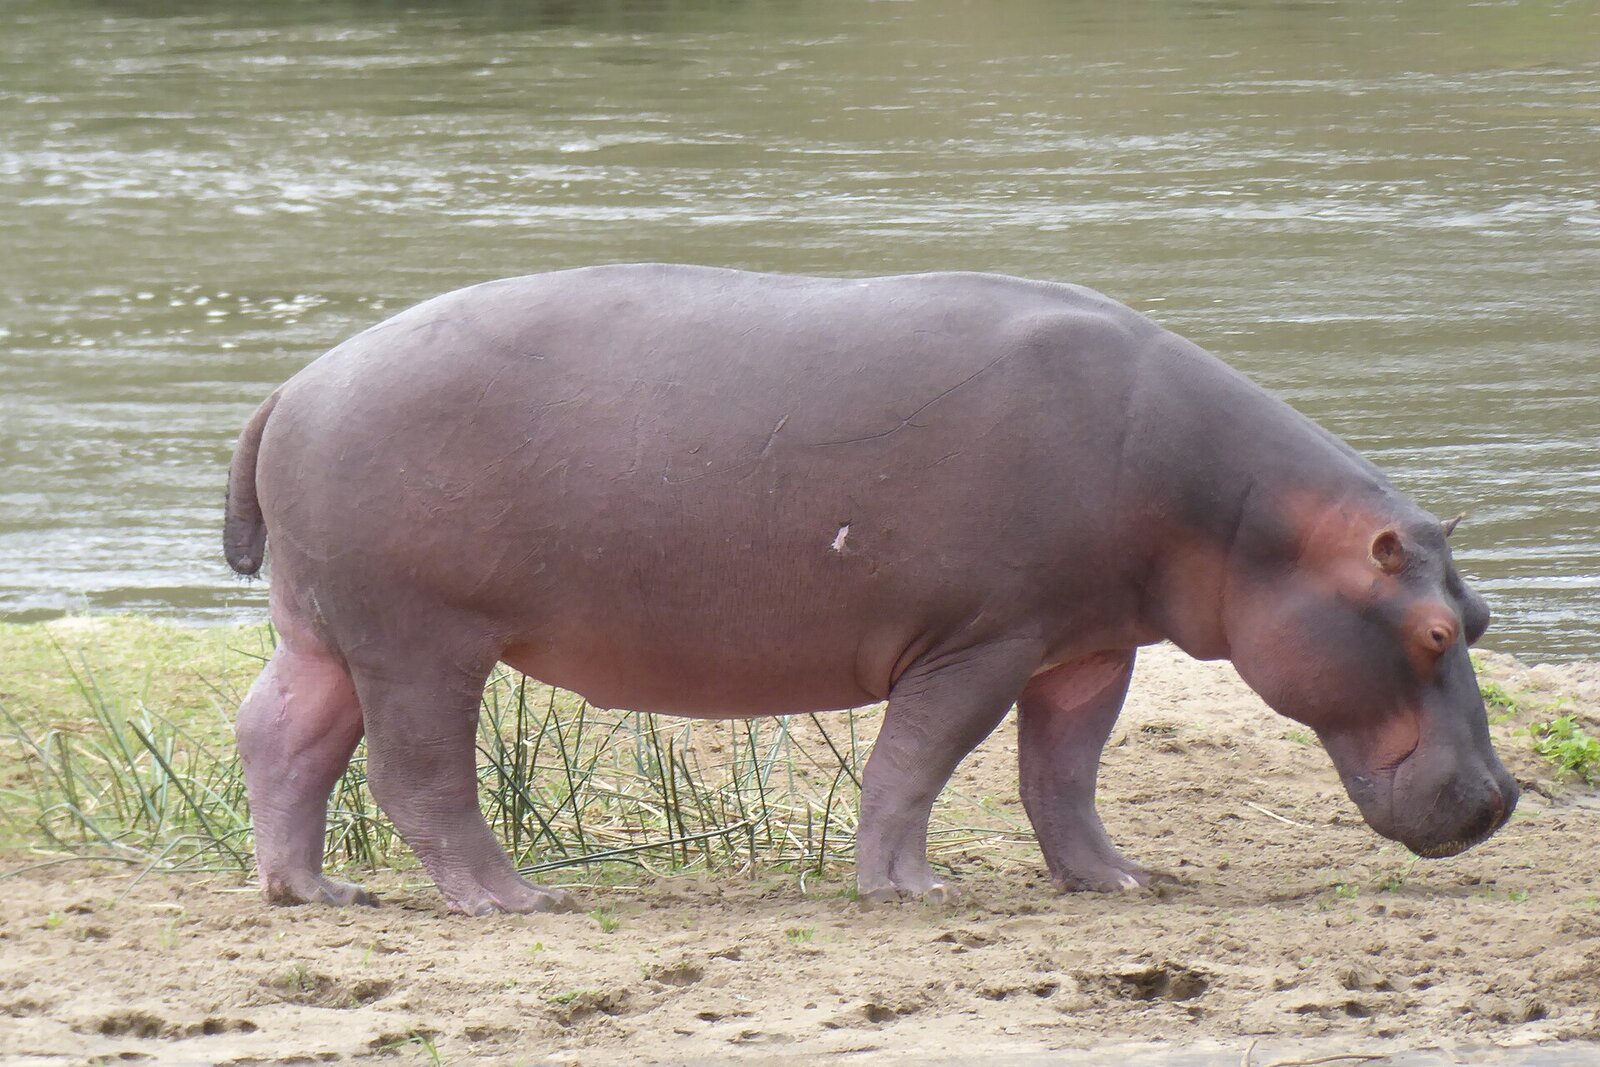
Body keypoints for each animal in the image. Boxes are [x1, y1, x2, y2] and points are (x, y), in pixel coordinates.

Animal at [224, 264, 1516, 914]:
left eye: (1483, 618)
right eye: (1432, 627)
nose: (1502, 798)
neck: (1248, 517)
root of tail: (296, 381)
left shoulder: (1088, 643)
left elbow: (1064, 775)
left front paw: (1123, 880)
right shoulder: (983, 636)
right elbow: (917, 760)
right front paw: (910, 887)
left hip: (322, 627)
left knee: (280, 733)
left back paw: (316, 890)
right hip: (421, 637)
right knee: (417, 773)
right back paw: (515, 900)